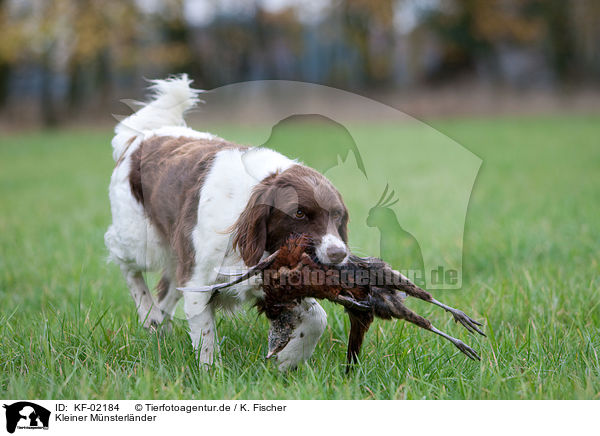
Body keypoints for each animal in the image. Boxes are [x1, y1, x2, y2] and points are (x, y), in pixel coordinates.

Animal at [102, 76, 346, 370]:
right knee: (125, 261)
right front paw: (212, 373)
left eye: (337, 215)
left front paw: (289, 358)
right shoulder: (198, 279)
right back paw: (148, 313)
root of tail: (141, 137)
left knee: (166, 293)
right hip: (142, 241)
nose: (339, 254)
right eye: (299, 213)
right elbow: (206, 339)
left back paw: (160, 329)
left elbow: (317, 318)